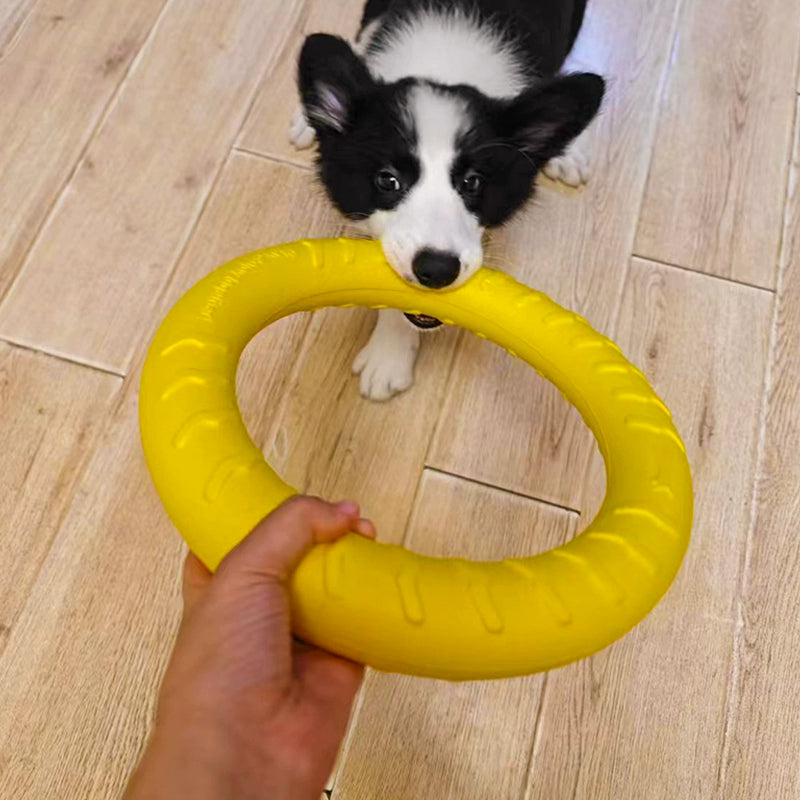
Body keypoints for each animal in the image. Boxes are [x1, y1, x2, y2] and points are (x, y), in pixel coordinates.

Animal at [290, 0, 604, 400]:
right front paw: (389, 355)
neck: (444, 63)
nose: (437, 270)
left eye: (473, 182)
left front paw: (388, 356)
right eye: (387, 180)